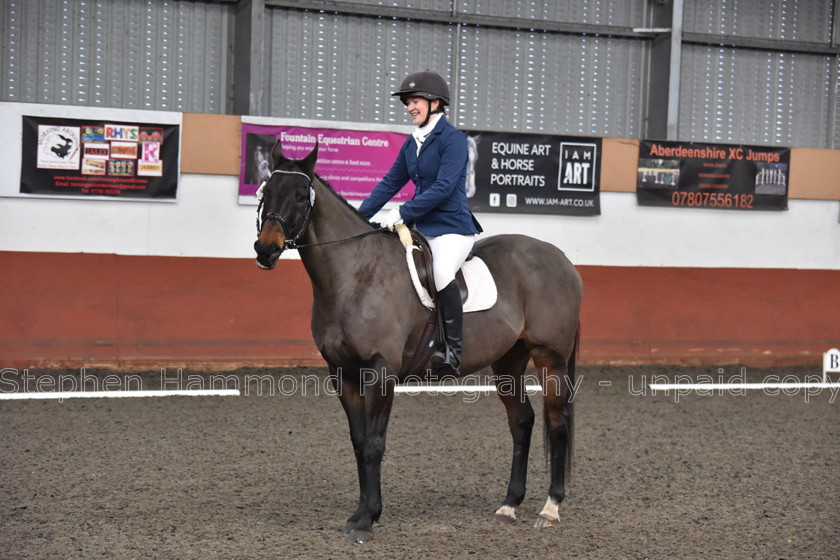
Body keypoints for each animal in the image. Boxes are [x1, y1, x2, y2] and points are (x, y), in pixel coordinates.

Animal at [254, 139, 584, 544]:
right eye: (265, 192)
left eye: (302, 196)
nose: (265, 249)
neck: (354, 276)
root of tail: (560, 258)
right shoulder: (343, 374)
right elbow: (359, 442)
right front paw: (359, 514)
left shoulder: (380, 372)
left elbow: (374, 444)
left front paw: (366, 521)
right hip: (509, 361)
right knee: (522, 421)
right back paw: (509, 506)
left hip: (550, 358)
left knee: (557, 424)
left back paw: (549, 509)